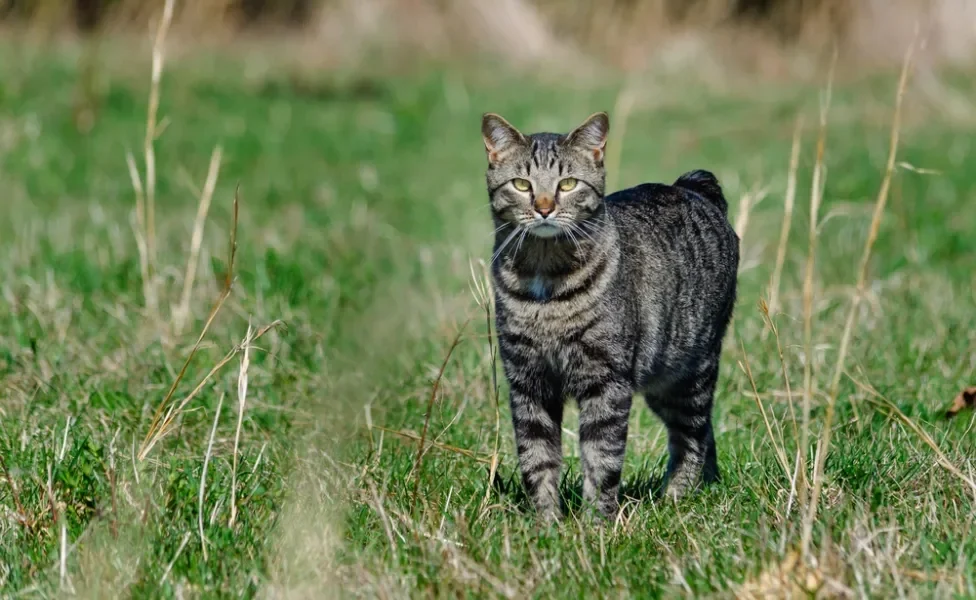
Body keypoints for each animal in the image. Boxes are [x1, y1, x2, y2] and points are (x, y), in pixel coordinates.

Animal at [480, 111, 740, 520]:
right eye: (522, 184)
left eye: (568, 183)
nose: (543, 207)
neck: (545, 284)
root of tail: (691, 186)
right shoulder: (528, 382)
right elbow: (536, 459)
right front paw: (545, 523)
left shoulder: (607, 381)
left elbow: (601, 459)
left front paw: (595, 524)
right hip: (661, 382)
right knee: (705, 432)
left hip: (690, 373)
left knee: (693, 437)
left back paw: (676, 497)